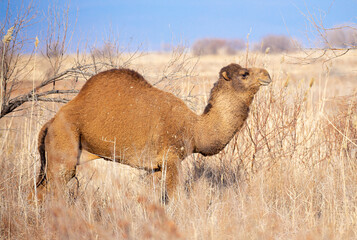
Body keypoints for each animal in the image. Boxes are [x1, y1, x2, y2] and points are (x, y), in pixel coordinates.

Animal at [32, 62, 270, 202]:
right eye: (244, 74)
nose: (267, 74)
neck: (194, 128)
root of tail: (50, 122)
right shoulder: (171, 158)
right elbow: (174, 197)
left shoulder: (155, 166)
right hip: (64, 145)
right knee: (53, 187)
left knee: (39, 188)